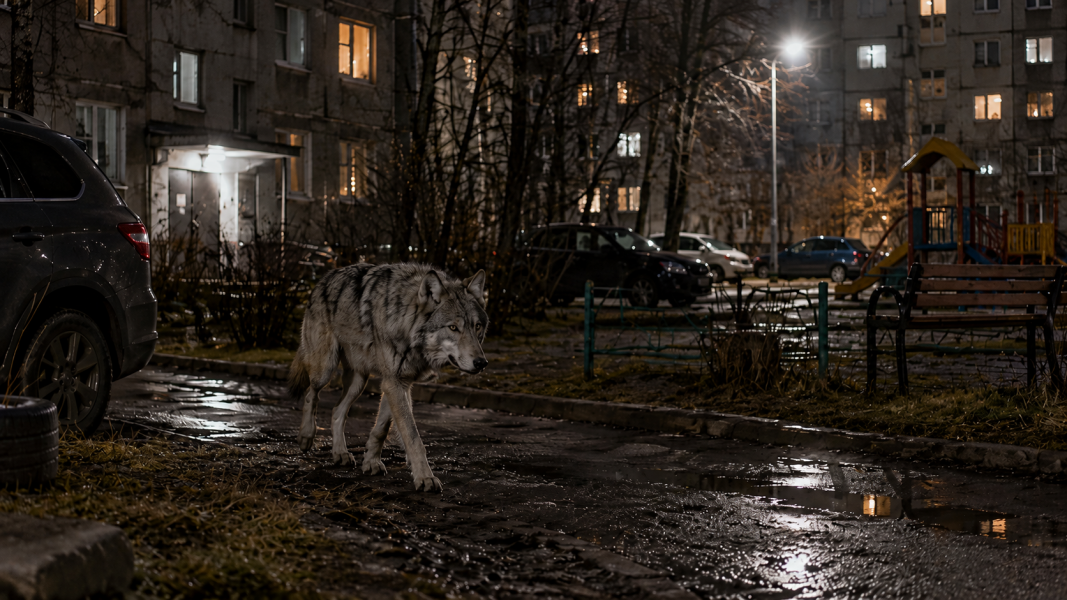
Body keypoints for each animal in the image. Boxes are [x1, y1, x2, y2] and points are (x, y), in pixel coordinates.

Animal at [288, 263, 488, 492]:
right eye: (453, 327)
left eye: (477, 326)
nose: (481, 363)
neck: (405, 321)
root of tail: (325, 277)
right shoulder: (393, 383)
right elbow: (413, 436)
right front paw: (425, 477)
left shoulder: (398, 383)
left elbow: (382, 428)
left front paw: (371, 462)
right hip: (325, 368)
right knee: (311, 394)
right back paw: (306, 436)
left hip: (359, 381)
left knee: (336, 410)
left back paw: (340, 453)